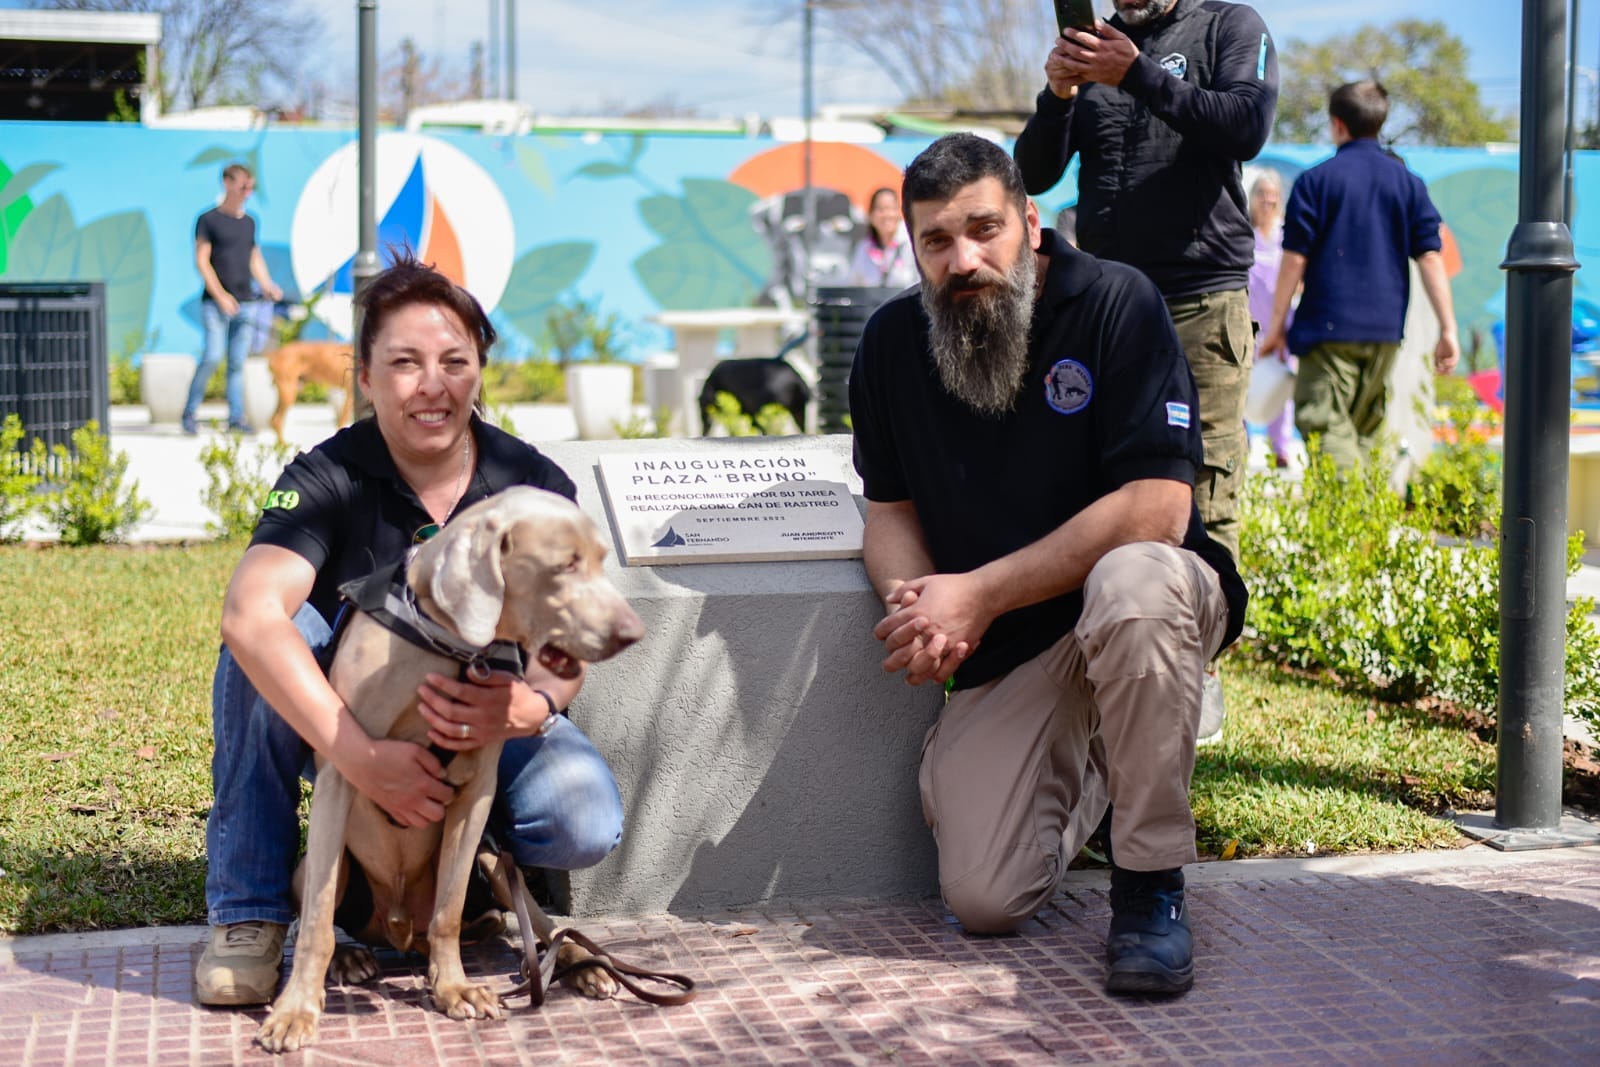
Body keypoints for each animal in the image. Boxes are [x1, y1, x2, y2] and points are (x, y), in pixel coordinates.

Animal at [252, 489, 646, 1055]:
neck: (447, 646)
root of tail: (400, 932)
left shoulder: (474, 794)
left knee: (539, 924)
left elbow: (449, 909)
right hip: (318, 865)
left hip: (493, 859)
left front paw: (454, 988)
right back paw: (350, 959)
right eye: (564, 565)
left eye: (598, 560)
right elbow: (317, 925)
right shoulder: (341, 775)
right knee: (321, 913)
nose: (632, 632)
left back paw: (582, 963)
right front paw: (295, 1011)